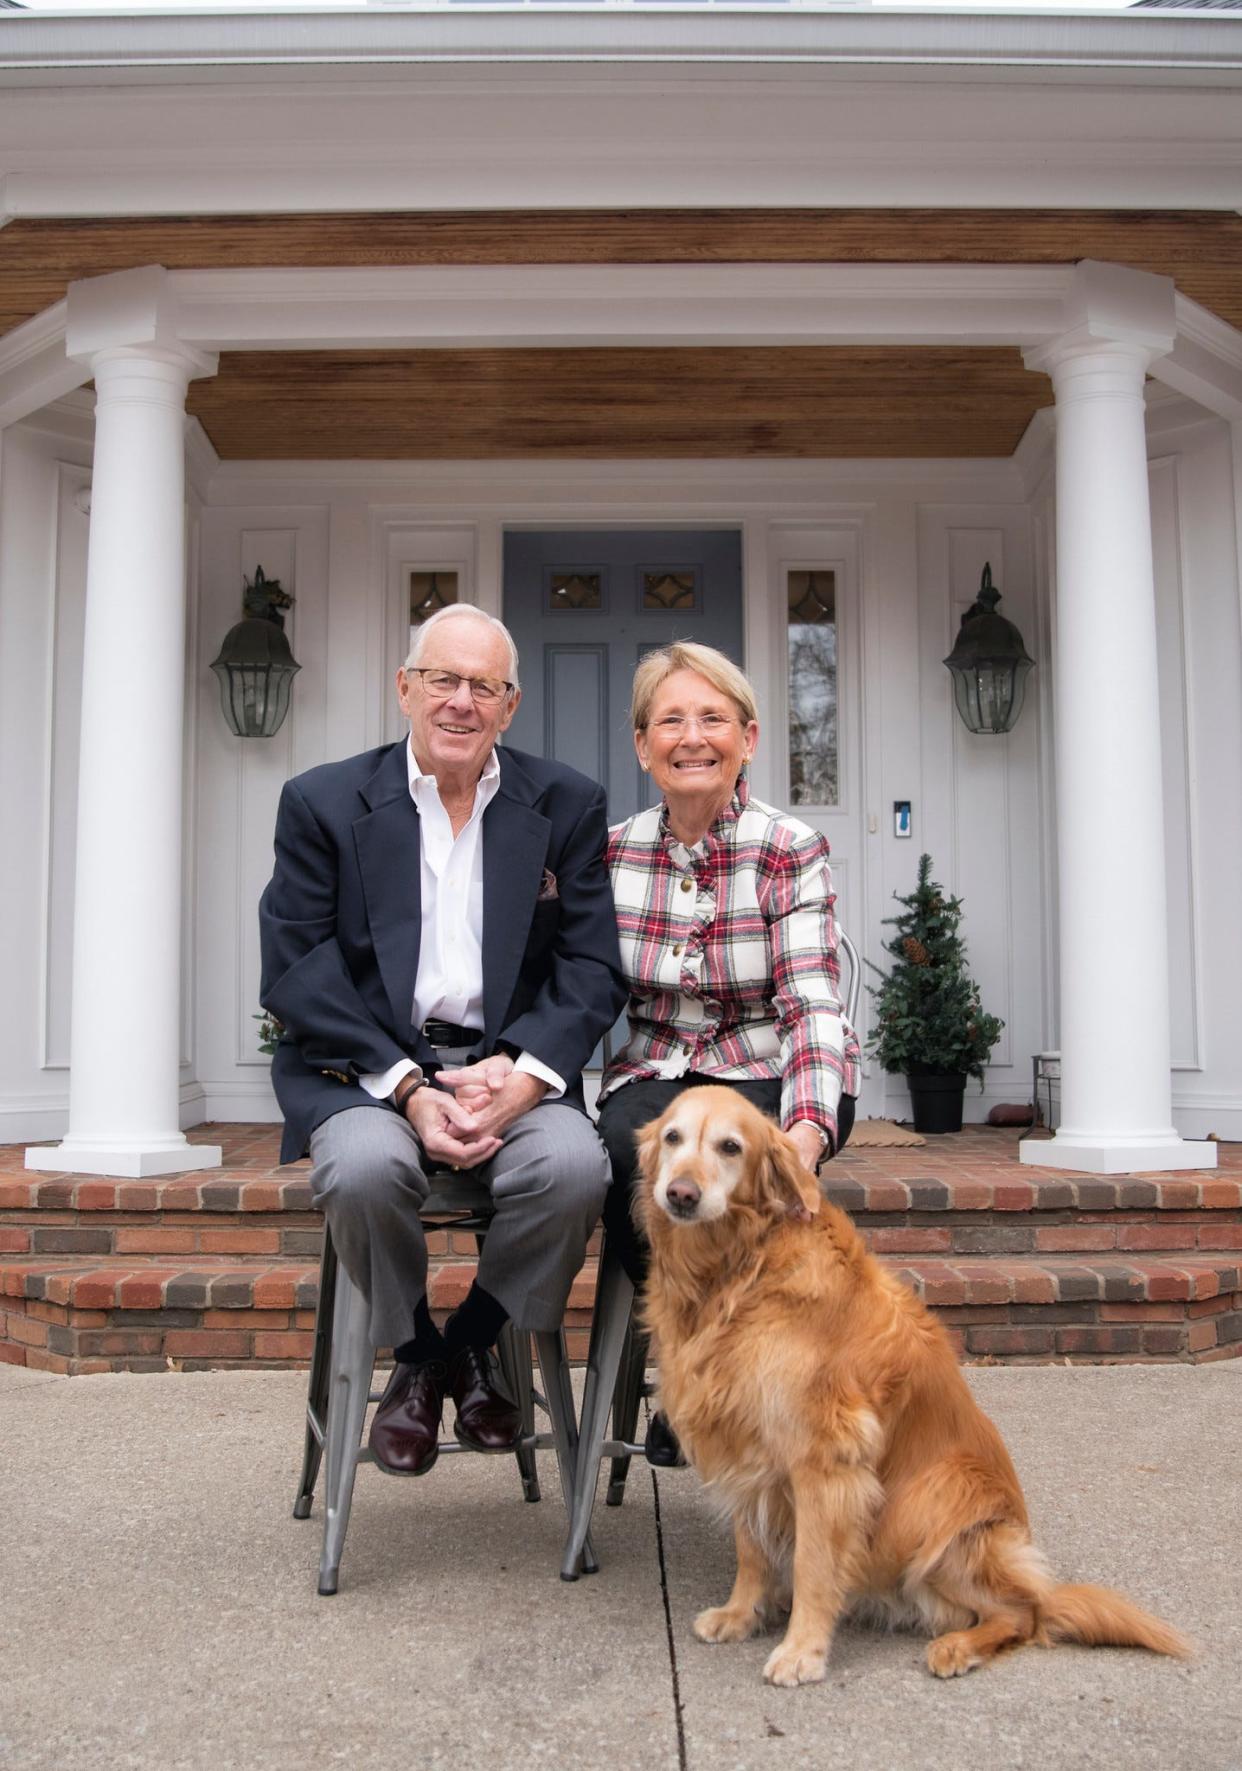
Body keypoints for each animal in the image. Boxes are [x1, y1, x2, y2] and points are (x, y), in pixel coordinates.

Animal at [634, 1090, 1183, 1685]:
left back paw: (958, 1648)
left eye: (730, 1147)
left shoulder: (824, 1460)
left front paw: (802, 1649)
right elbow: (751, 1548)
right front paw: (740, 1614)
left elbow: (812, 1565)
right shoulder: (749, 1445)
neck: (737, 1271)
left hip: (932, 1501)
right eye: (673, 1138)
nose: (681, 1194)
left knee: (1026, 1613)